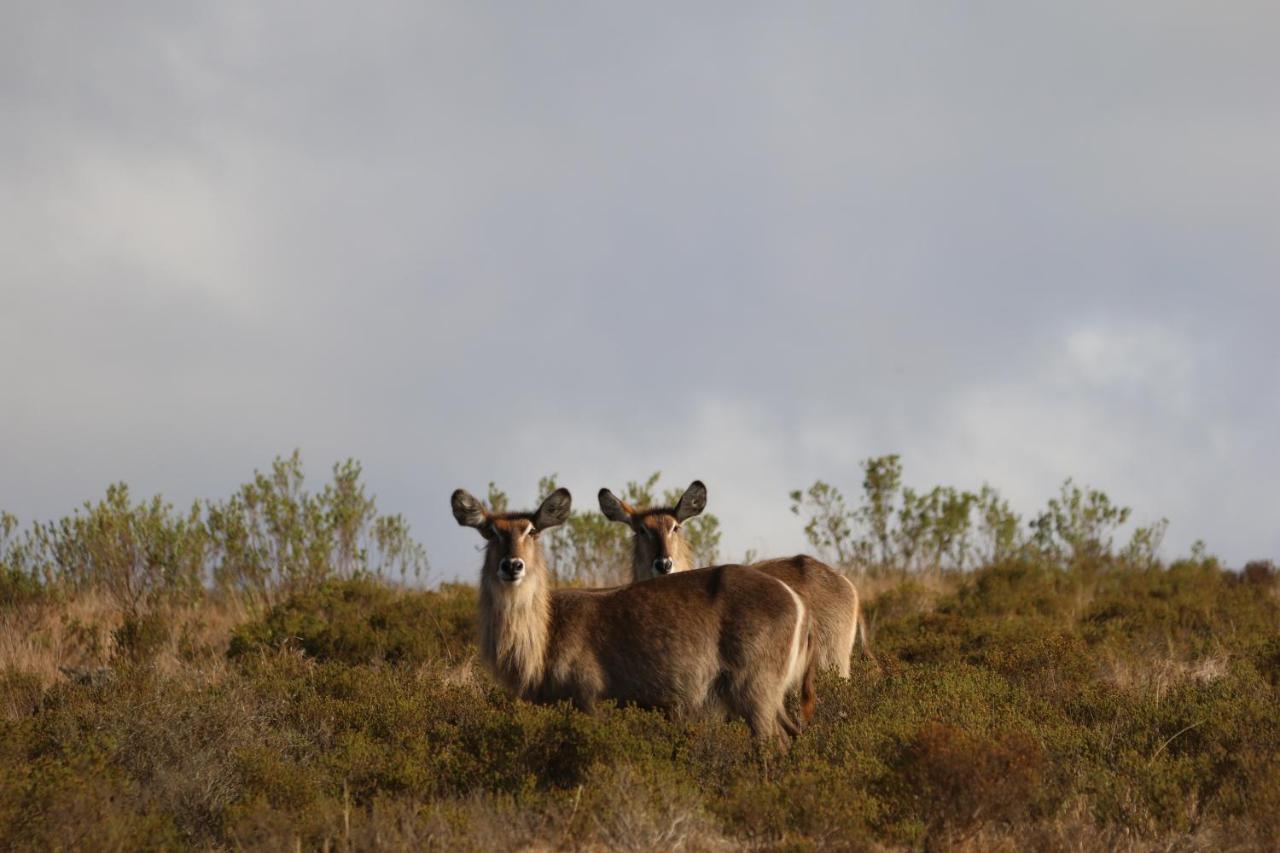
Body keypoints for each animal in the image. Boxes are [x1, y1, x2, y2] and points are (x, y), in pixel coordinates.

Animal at [453, 484, 819, 742]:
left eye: (532, 531)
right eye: (491, 532)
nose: (512, 565)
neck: (546, 634)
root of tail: (798, 603)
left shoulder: (591, 700)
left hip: (756, 687)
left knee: (774, 741)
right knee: (793, 733)